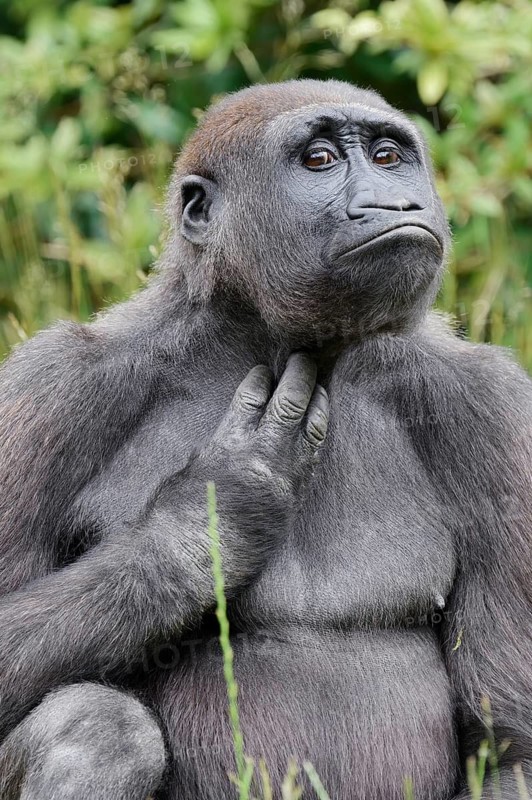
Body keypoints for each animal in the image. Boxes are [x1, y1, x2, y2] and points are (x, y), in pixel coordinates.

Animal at [0, 79, 531, 800]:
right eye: (319, 161)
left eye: (389, 157)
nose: (395, 202)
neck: (266, 338)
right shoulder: (49, 386)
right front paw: (207, 522)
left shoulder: (497, 410)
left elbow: (510, 745)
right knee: (98, 730)